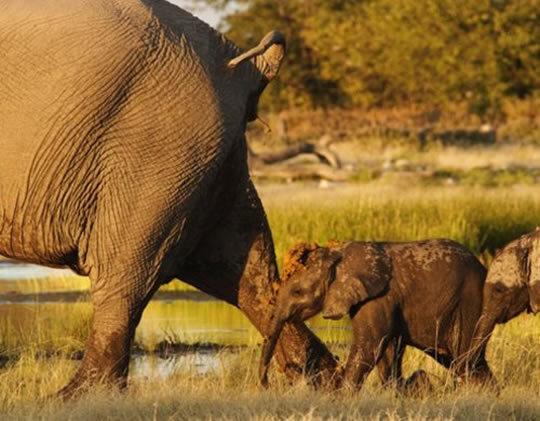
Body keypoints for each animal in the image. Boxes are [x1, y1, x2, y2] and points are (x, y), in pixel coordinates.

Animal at [0, 0, 338, 398]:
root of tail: (238, 65)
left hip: (158, 148)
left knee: (127, 273)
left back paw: (75, 397)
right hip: (202, 157)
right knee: (243, 272)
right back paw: (326, 380)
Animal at [260, 238, 496, 388]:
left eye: (297, 292)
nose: (265, 384)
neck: (337, 256)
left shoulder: (378, 297)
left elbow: (370, 346)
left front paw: (340, 398)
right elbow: (388, 350)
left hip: (470, 305)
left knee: (466, 360)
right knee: (465, 362)